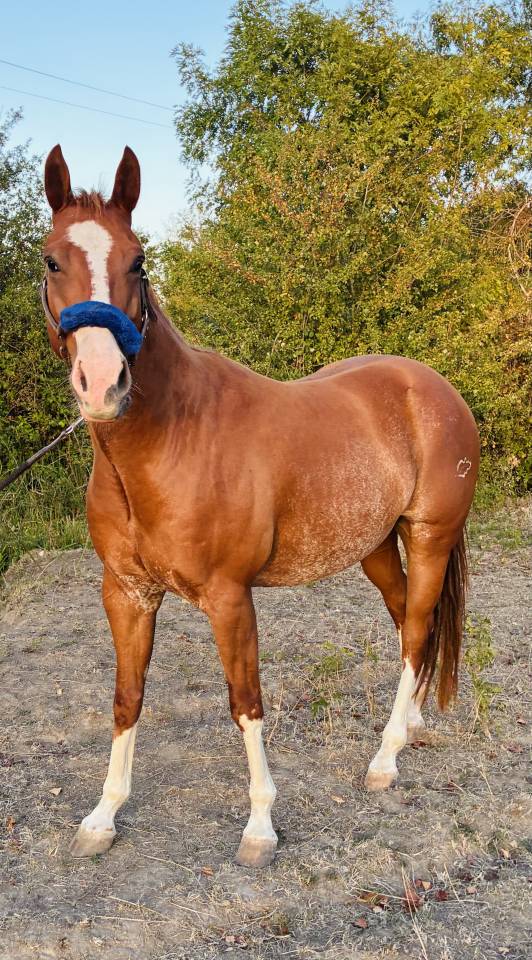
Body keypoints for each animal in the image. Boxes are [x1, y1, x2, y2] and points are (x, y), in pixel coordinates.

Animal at [41, 144, 479, 868]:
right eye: (52, 260)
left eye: (138, 260)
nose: (102, 385)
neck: (169, 440)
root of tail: (435, 387)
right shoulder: (126, 593)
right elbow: (127, 698)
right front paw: (103, 815)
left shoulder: (229, 596)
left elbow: (245, 702)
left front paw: (260, 827)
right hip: (375, 547)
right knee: (404, 629)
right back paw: (411, 724)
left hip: (429, 537)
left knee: (417, 631)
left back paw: (385, 759)